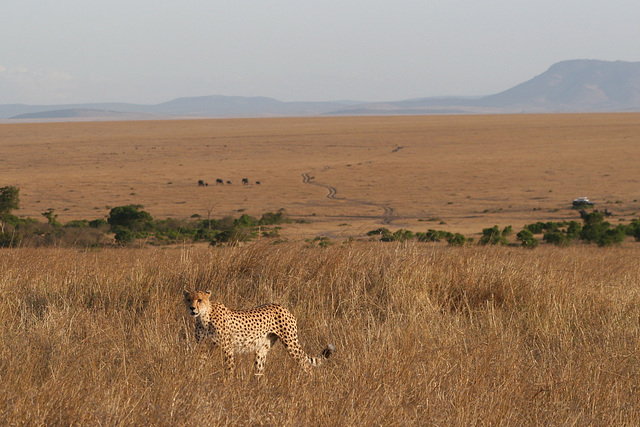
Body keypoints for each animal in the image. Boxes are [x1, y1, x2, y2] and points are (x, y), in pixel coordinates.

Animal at [182, 290, 336, 376]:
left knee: (306, 365)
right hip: (262, 349)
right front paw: (195, 377)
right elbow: (198, 364)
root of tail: (281, 306)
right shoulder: (202, 347)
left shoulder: (227, 348)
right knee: (260, 370)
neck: (204, 316)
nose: (192, 308)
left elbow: (229, 369)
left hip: (290, 344)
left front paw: (228, 387)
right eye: (188, 299)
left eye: (199, 300)